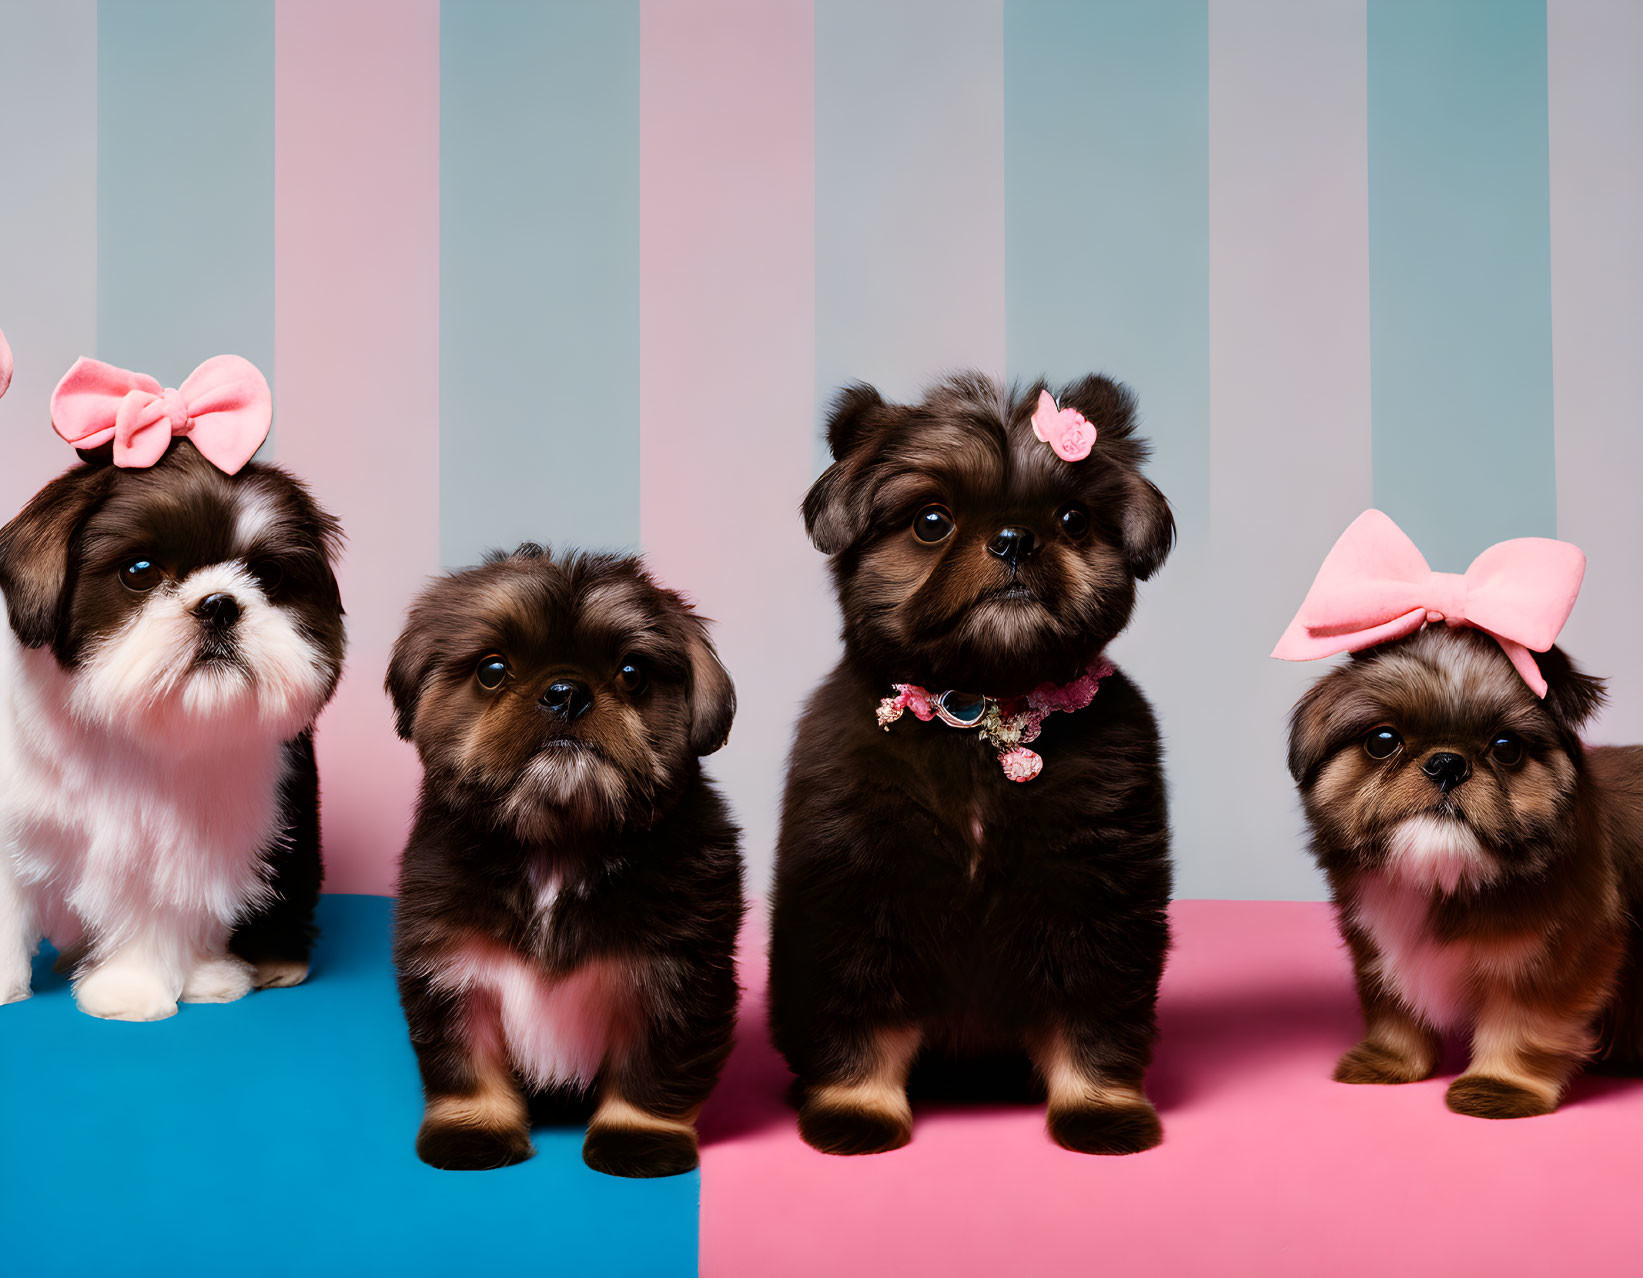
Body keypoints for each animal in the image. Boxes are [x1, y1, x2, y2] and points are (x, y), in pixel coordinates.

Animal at [384, 545, 745, 1176]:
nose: (566, 692)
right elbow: (464, 1066)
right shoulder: (452, 973)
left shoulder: (675, 982)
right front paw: (473, 1131)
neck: (559, 847)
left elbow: (653, 1073)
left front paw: (638, 1140)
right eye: (492, 669)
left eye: (632, 673)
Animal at [762, 371, 1176, 1156]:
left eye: (1074, 519)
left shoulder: (1096, 901)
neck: (981, 711)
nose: (1015, 538)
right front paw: (856, 1107)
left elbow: (1092, 1020)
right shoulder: (861, 900)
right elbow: (862, 1024)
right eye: (931, 522)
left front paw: (1100, 1107)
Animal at [1288, 627, 1636, 1117]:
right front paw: (1390, 1061)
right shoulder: (1377, 947)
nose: (1447, 763)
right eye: (1382, 741)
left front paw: (1499, 1086)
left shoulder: (1553, 961)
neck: (1445, 883)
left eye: (1507, 749)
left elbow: (1524, 1026)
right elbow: (1393, 1009)